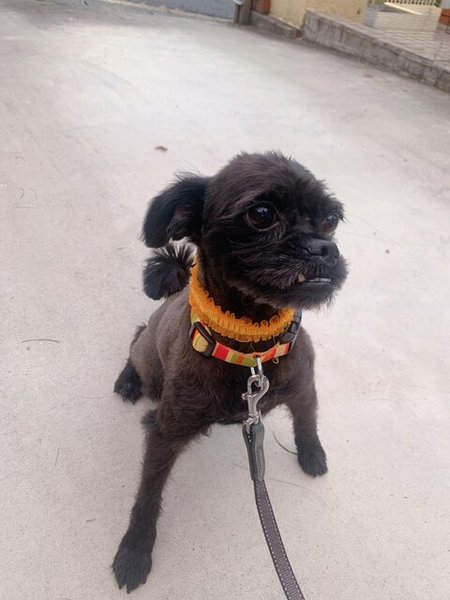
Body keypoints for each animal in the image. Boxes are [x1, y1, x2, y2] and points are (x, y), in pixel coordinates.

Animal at [112, 151, 347, 592]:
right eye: (262, 213)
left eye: (330, 220)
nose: (326, 248)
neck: (251, 350)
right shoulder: (165, 431)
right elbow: (148, 495)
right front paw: (134, 551)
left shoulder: (304, 388)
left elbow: (307, 423)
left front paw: (312, 454)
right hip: (151, 361)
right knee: (137, 338)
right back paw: (128, 379)